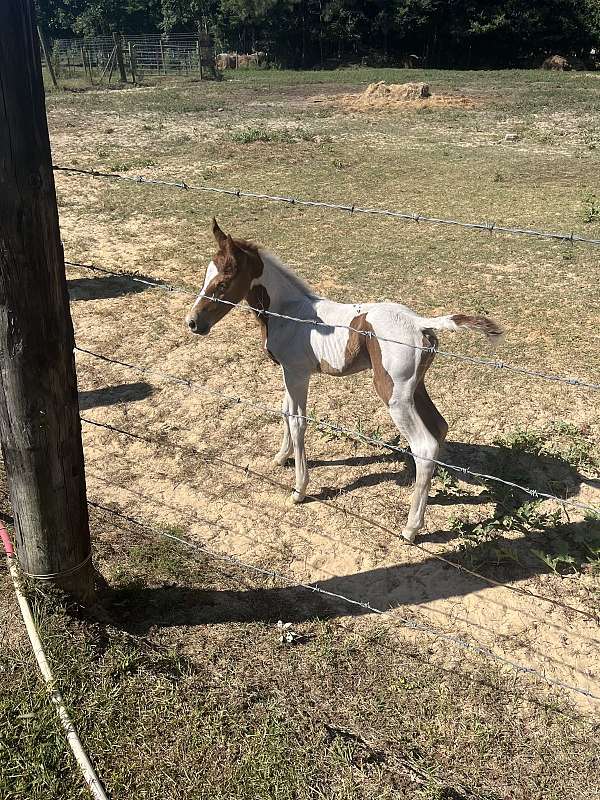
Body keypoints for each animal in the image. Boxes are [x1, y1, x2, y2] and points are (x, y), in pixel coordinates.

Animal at [188, 222, 502, 540]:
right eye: (205, 277)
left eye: (223, 283)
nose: (193, 322)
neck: (288, 311)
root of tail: (419, 322)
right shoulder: (288, 371)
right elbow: (285, 412)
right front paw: (281, 457)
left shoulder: (298, 373)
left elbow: (299, 422)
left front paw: (299, 489)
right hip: (417, 387)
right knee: (440, 427)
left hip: (394, 394)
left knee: (424, 447)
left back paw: (411, 528)